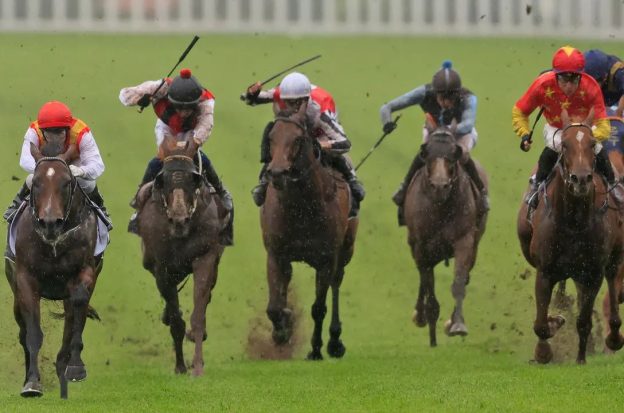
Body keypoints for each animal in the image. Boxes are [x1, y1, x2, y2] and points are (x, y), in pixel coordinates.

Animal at [4, 141, 103, 396]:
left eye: (66, 182)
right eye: (37, 182)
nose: (50, 223)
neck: (53, 242)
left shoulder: (85, 271)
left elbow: (76, 314)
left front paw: (75, 367)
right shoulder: (25, 279)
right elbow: (32, 333)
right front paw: (32, 382)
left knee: (73, 317)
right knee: (23, 331)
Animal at [135, 134, 229, 374]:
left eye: (192, 179)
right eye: (163, 180)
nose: (179, 218)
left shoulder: (204, 257)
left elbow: (198, 312)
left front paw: (197, 365)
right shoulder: (162, 268)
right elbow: (177, 320)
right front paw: (180, 366)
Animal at [258, 101, 356, 358]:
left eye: (298, 139)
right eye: (271, 137)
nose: (277, 172)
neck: (301, 207)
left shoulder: (326, 260)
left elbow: (318, 307)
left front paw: (315, 349)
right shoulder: (276, 254)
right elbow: (274, 307)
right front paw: (282, 330)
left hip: (345, 250)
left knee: (336, 283)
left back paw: (334, 341)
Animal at [402, 124, 490, 344]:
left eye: (452, 157)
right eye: (427, 156)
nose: (440, 186)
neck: (440, 208)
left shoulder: (465, 241)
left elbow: (459, 282)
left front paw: (456, 323)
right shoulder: (421, 245)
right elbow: (427, 282)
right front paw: (427, 315)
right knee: (423, 278)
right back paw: (420, 314)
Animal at [516, 110, 624, 364]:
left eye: (592, 144)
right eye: (564, 145)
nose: (581, 179)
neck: (573, 222)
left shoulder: (593, 272)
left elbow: (583, 320)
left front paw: (581, 358)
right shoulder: (545, 270)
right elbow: (541, 323)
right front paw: (545, 347)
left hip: (612, 259)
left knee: (613, 290)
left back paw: (613, 337)